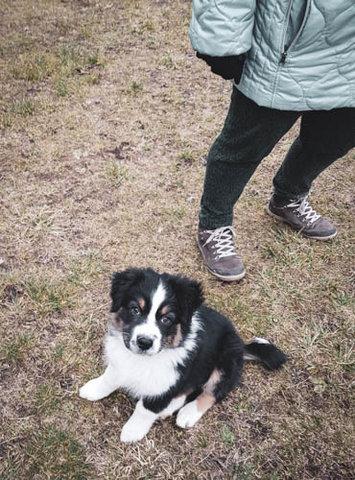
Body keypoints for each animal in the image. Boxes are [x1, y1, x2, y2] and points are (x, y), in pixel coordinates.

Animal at [79, 266, 288, 442]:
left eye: (166, 319)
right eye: (135, 309)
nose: (144, 342)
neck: (144, 359)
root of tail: (241, 345)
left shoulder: (169, 377)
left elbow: (146, 408)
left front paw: (132, 431)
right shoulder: (122, 362)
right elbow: (110, 378)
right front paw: (93, 389)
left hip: (225, 363)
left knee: (212, 392)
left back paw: (187, 413)